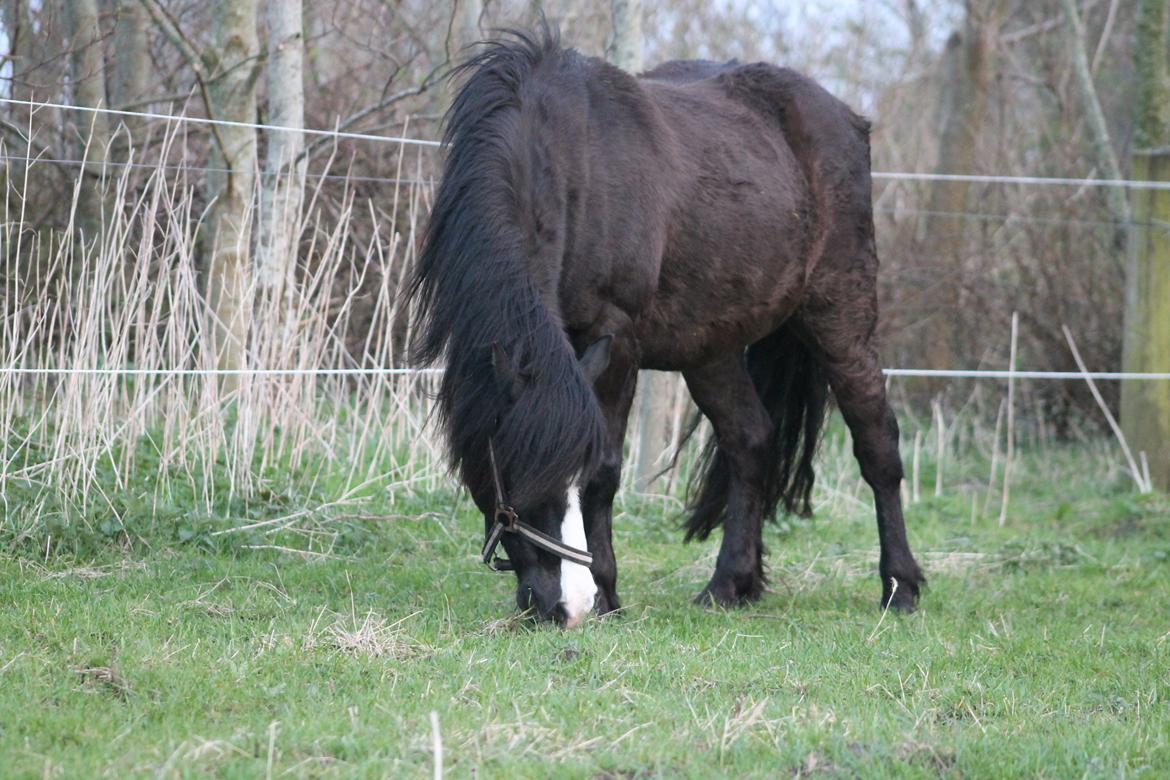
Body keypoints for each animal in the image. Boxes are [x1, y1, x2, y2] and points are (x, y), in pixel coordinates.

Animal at [408, 26, 925, 628]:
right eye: (519, 471)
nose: (566, 607)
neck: (571, 158)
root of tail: (844, 117)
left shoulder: (616, 344)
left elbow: (608, 473)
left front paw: (607, 595)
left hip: (841, 312)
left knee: (877, 442)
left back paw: (900, 587)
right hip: (710, 349)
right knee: (751, 441)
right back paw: (728, 585)